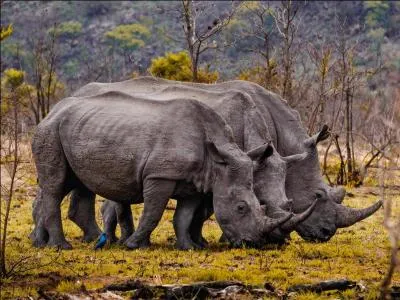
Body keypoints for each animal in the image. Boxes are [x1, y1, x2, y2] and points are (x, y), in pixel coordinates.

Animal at [28, 90, 290, 250]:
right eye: (241, 207)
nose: (253, 242)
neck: (217, 161)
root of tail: (51, 111)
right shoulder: (160, 174)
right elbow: (153, 212)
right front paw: (134, 245)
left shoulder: (196, 181)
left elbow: (184, 215)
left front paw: (189, 247)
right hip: (50, 131)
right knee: (55, 185)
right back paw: (61, 246)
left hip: (75, 130)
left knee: (73, 183)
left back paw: (54, 243)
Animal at [73, 76, 382, 243]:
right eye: (318, 195)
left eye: (291, 203)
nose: (326, 234)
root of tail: (79, 92)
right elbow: (212, 207)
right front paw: (216, 239)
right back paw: (113, 240)